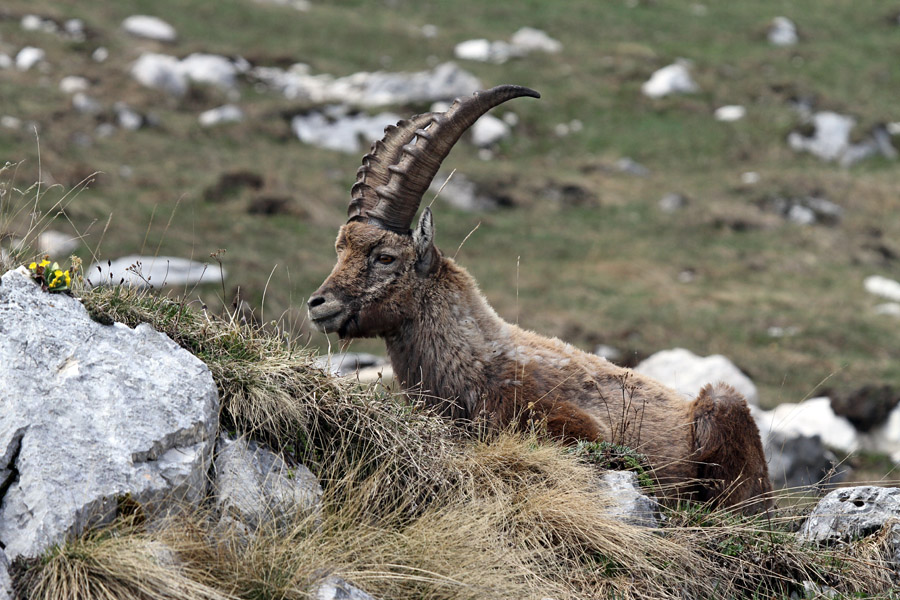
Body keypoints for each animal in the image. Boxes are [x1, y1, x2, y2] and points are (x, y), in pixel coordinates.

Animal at [308, 85, 773, 513]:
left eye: (385, 257)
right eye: (340, 249)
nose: (318, 304)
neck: (476, 360)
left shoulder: (573, 426)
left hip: (722, 410)